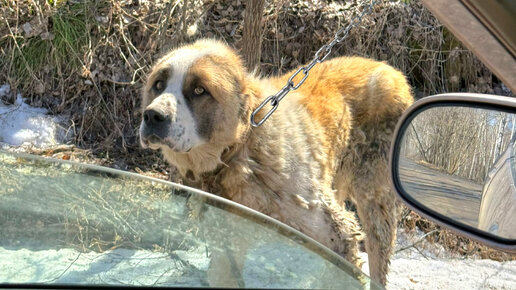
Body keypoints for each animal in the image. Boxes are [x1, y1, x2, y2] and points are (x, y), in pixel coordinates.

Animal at [139, 38, 414, 286]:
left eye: (199, 90)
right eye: (158, 85)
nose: (152, 115)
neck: (241, 151)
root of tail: (391, 71)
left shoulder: (337, 234)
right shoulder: (226, 250)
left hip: (375, 204)